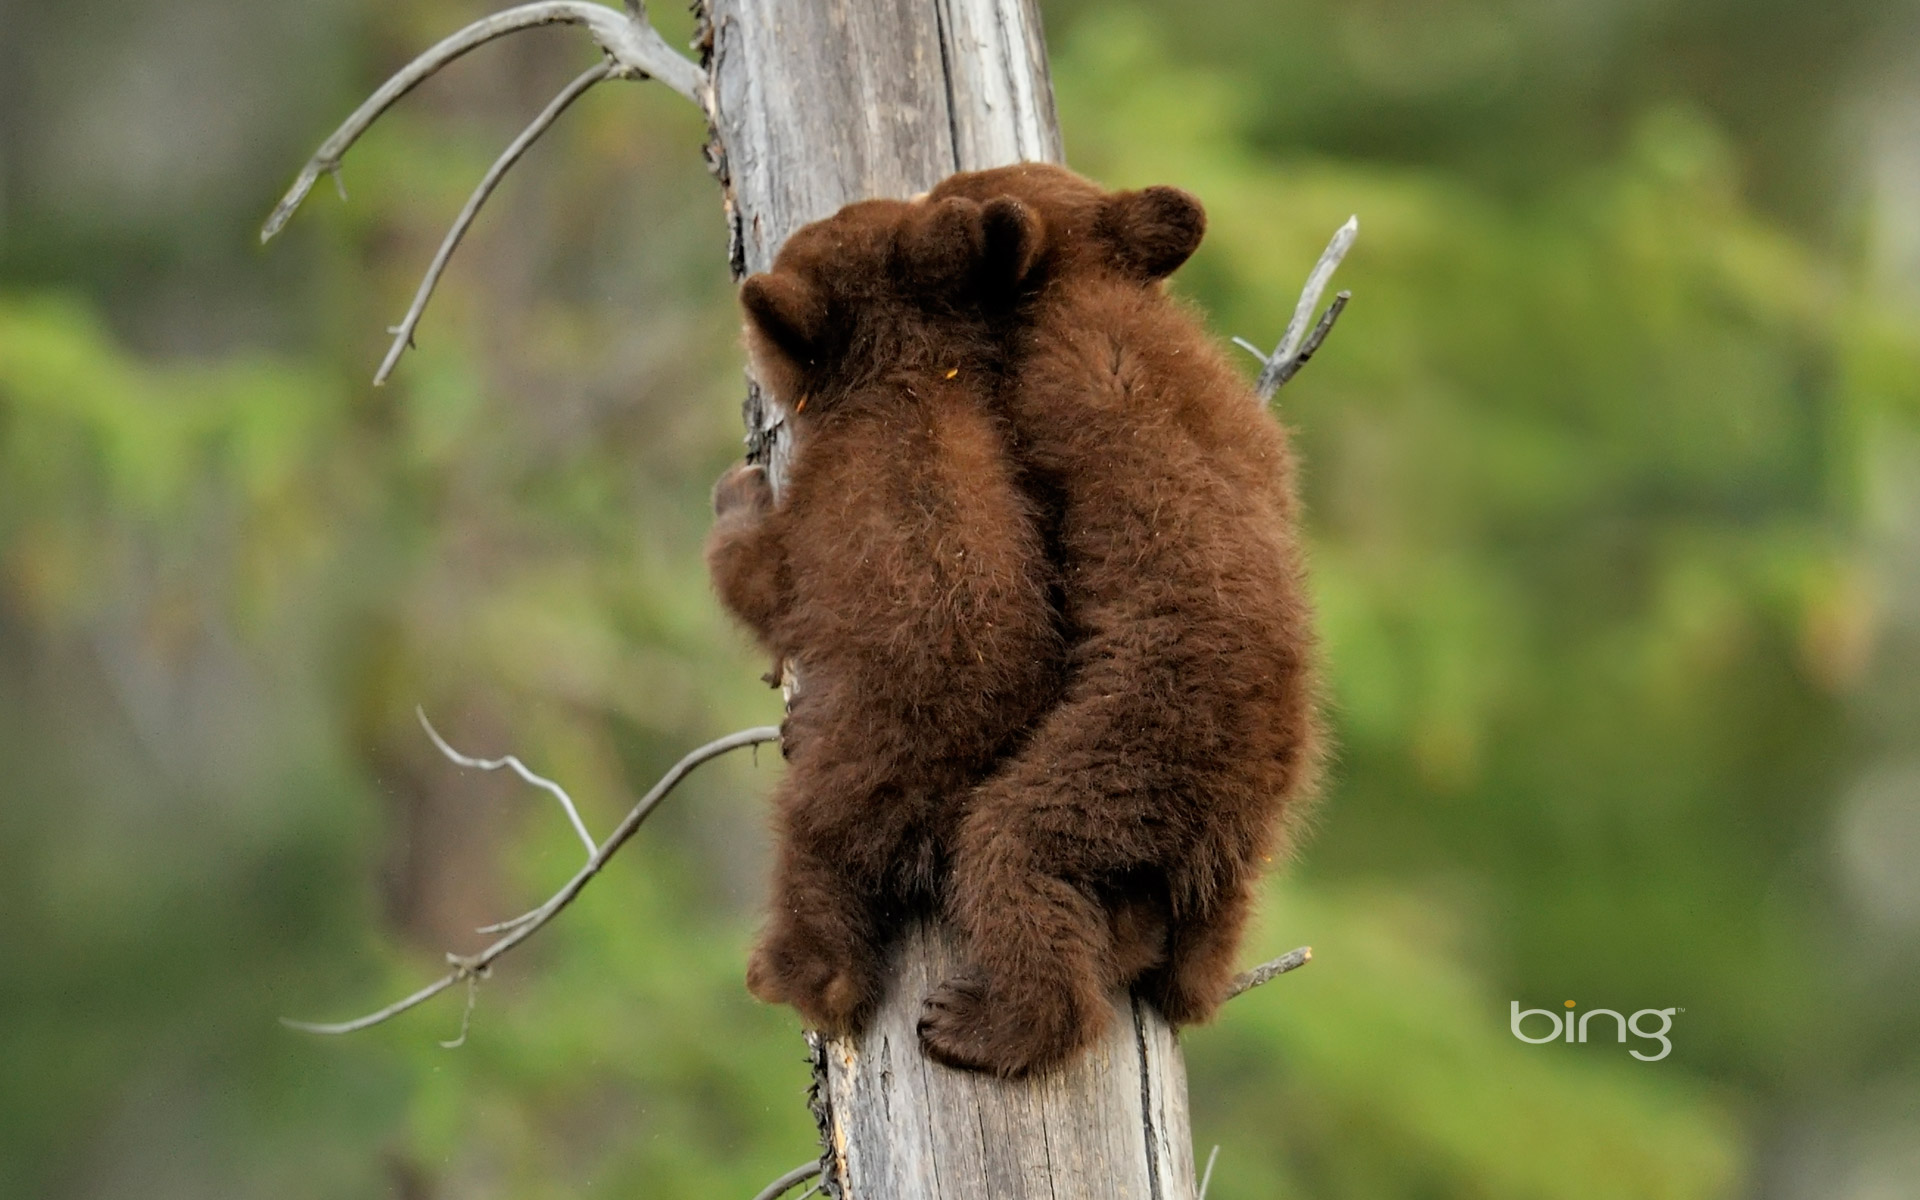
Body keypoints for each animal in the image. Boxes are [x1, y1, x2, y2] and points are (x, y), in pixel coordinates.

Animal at [704, 192, 1066, 1036]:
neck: (908, 379)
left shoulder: (820, 512)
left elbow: (761, 579)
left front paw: (736, 490)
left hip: (853, 776)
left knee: (816, 862)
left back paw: (794, 974)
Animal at [910, 163, 1324, 1077]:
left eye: (950, 192)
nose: (916, 198)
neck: (1090, 279)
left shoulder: (1063, 386)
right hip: (1247, 843)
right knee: (1201, 936)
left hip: (1123, 754)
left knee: (1012, 852)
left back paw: (984, 1022)